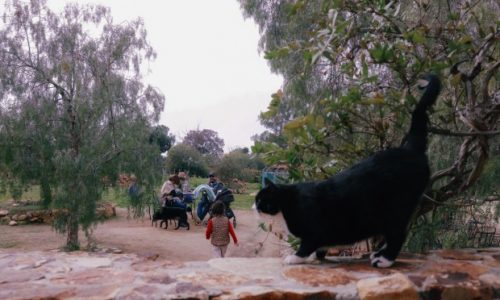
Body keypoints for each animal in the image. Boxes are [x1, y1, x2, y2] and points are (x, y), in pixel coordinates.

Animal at [256, 73, 440, 268]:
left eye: (261, 200)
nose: (254, 206)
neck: (287, 203)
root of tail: (409, 149)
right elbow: (318, 247)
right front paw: (316, 256)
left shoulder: (313, 227)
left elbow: (307, 244)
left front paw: (295, 257)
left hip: (396, 209)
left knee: (397, 234)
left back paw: (384, 259)